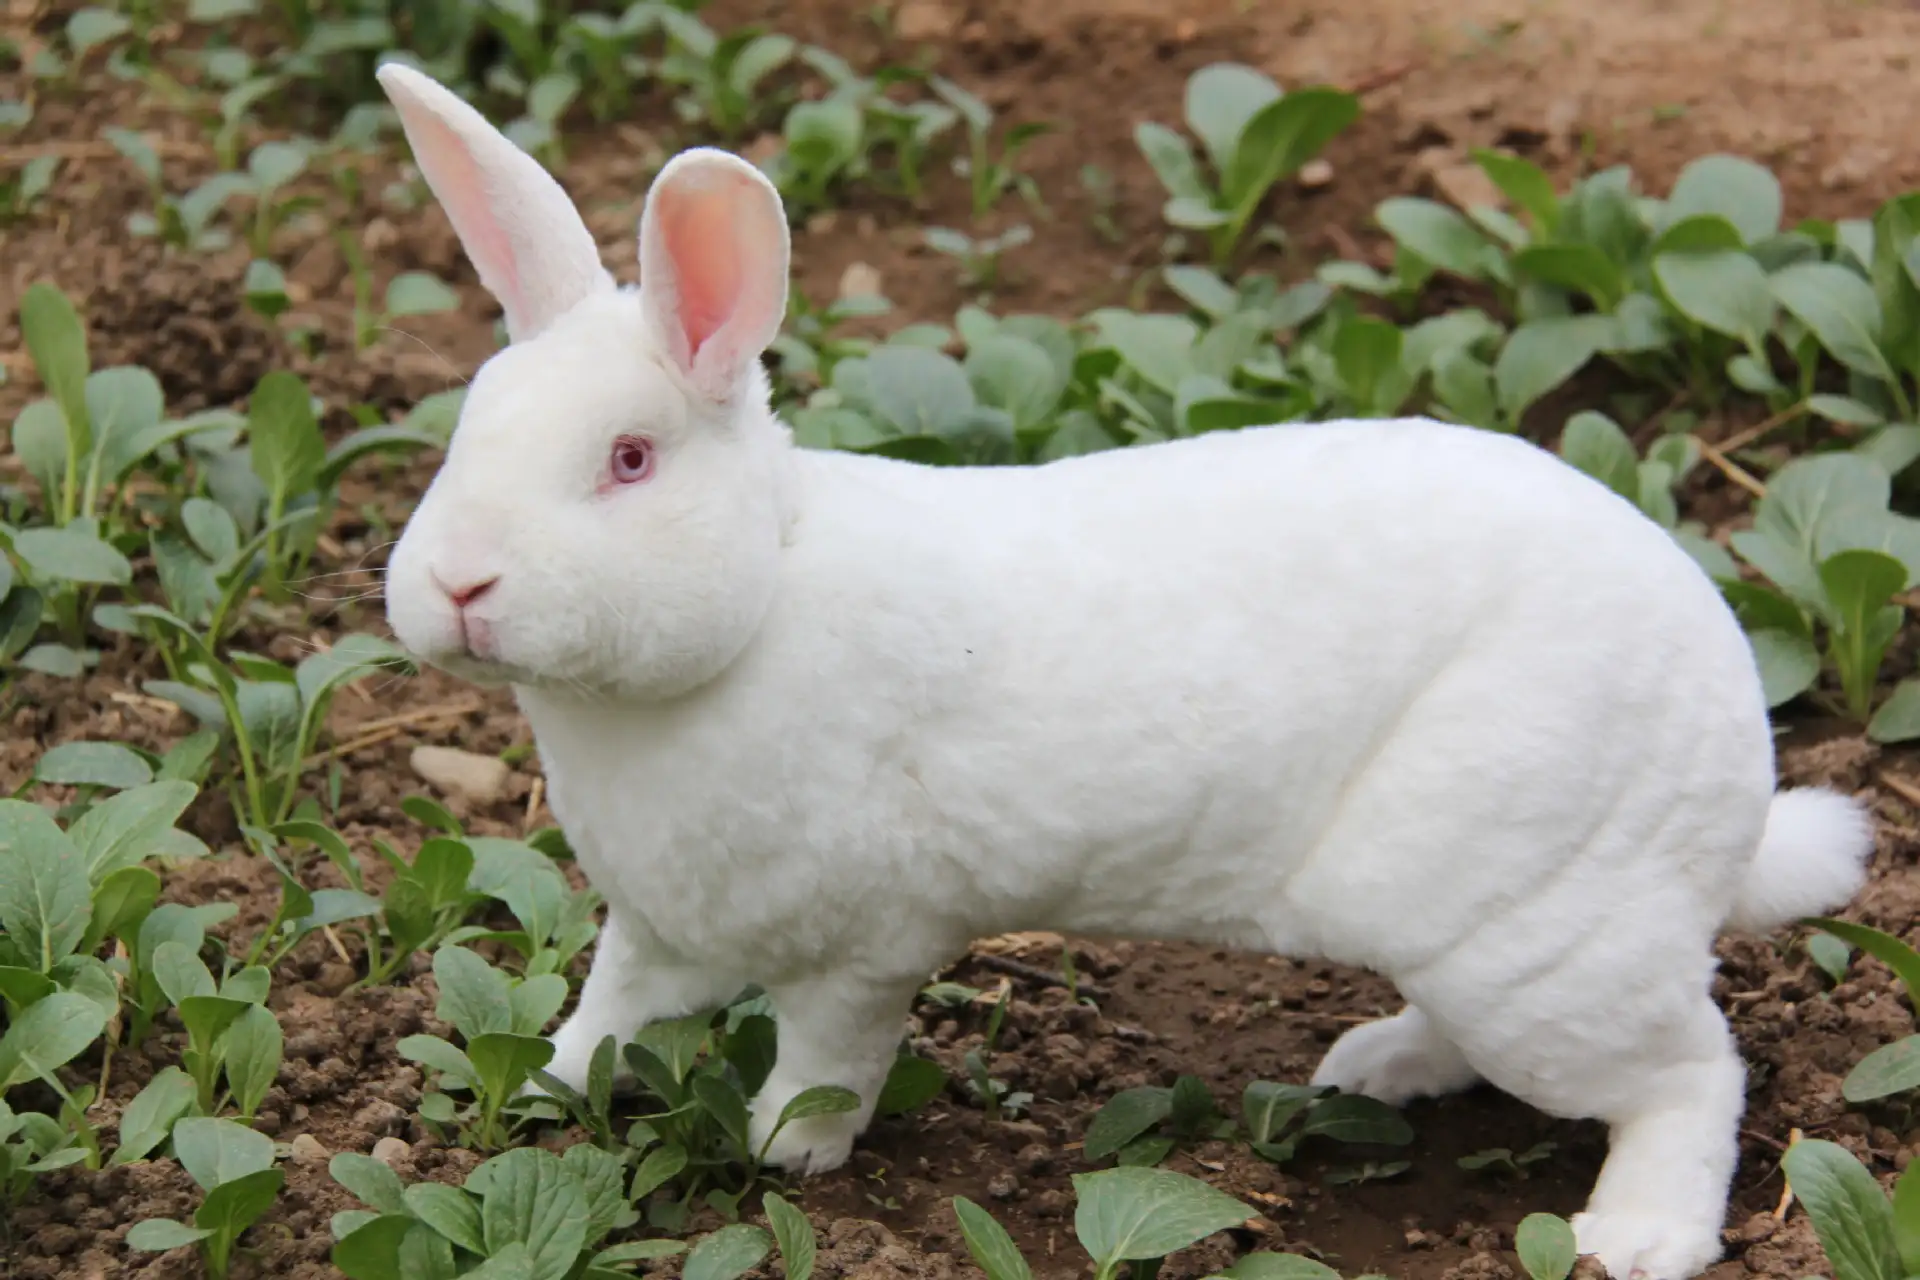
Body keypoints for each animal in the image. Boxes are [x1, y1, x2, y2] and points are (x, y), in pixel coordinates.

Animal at [374, 62, 1873, 1280]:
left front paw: (783, 1153)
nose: (456, 587)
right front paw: (557, 1088)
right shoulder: (659, 924)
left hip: (1542, 936)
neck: (760, 599)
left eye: (629, 461)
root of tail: (1736, 781)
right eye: (467, 431)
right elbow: (607, 1009)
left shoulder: (867, 944)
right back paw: (1376, 1067)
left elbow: (828, 1063)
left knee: (1690, 1074)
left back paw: (1636, 1234)